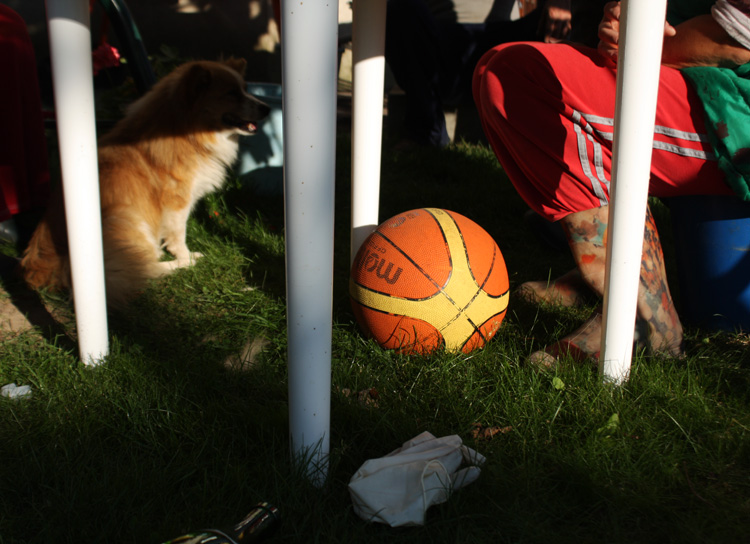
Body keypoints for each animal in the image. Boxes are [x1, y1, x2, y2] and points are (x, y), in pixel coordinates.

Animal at [20, 58, 270, 306]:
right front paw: (185, 256)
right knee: (142, 270)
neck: (188, 134)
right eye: (231, 94)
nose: (267, 108)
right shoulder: (177, 203)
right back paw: (180, 264)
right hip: (125, 217)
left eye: (245, 89)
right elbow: (178, 235)